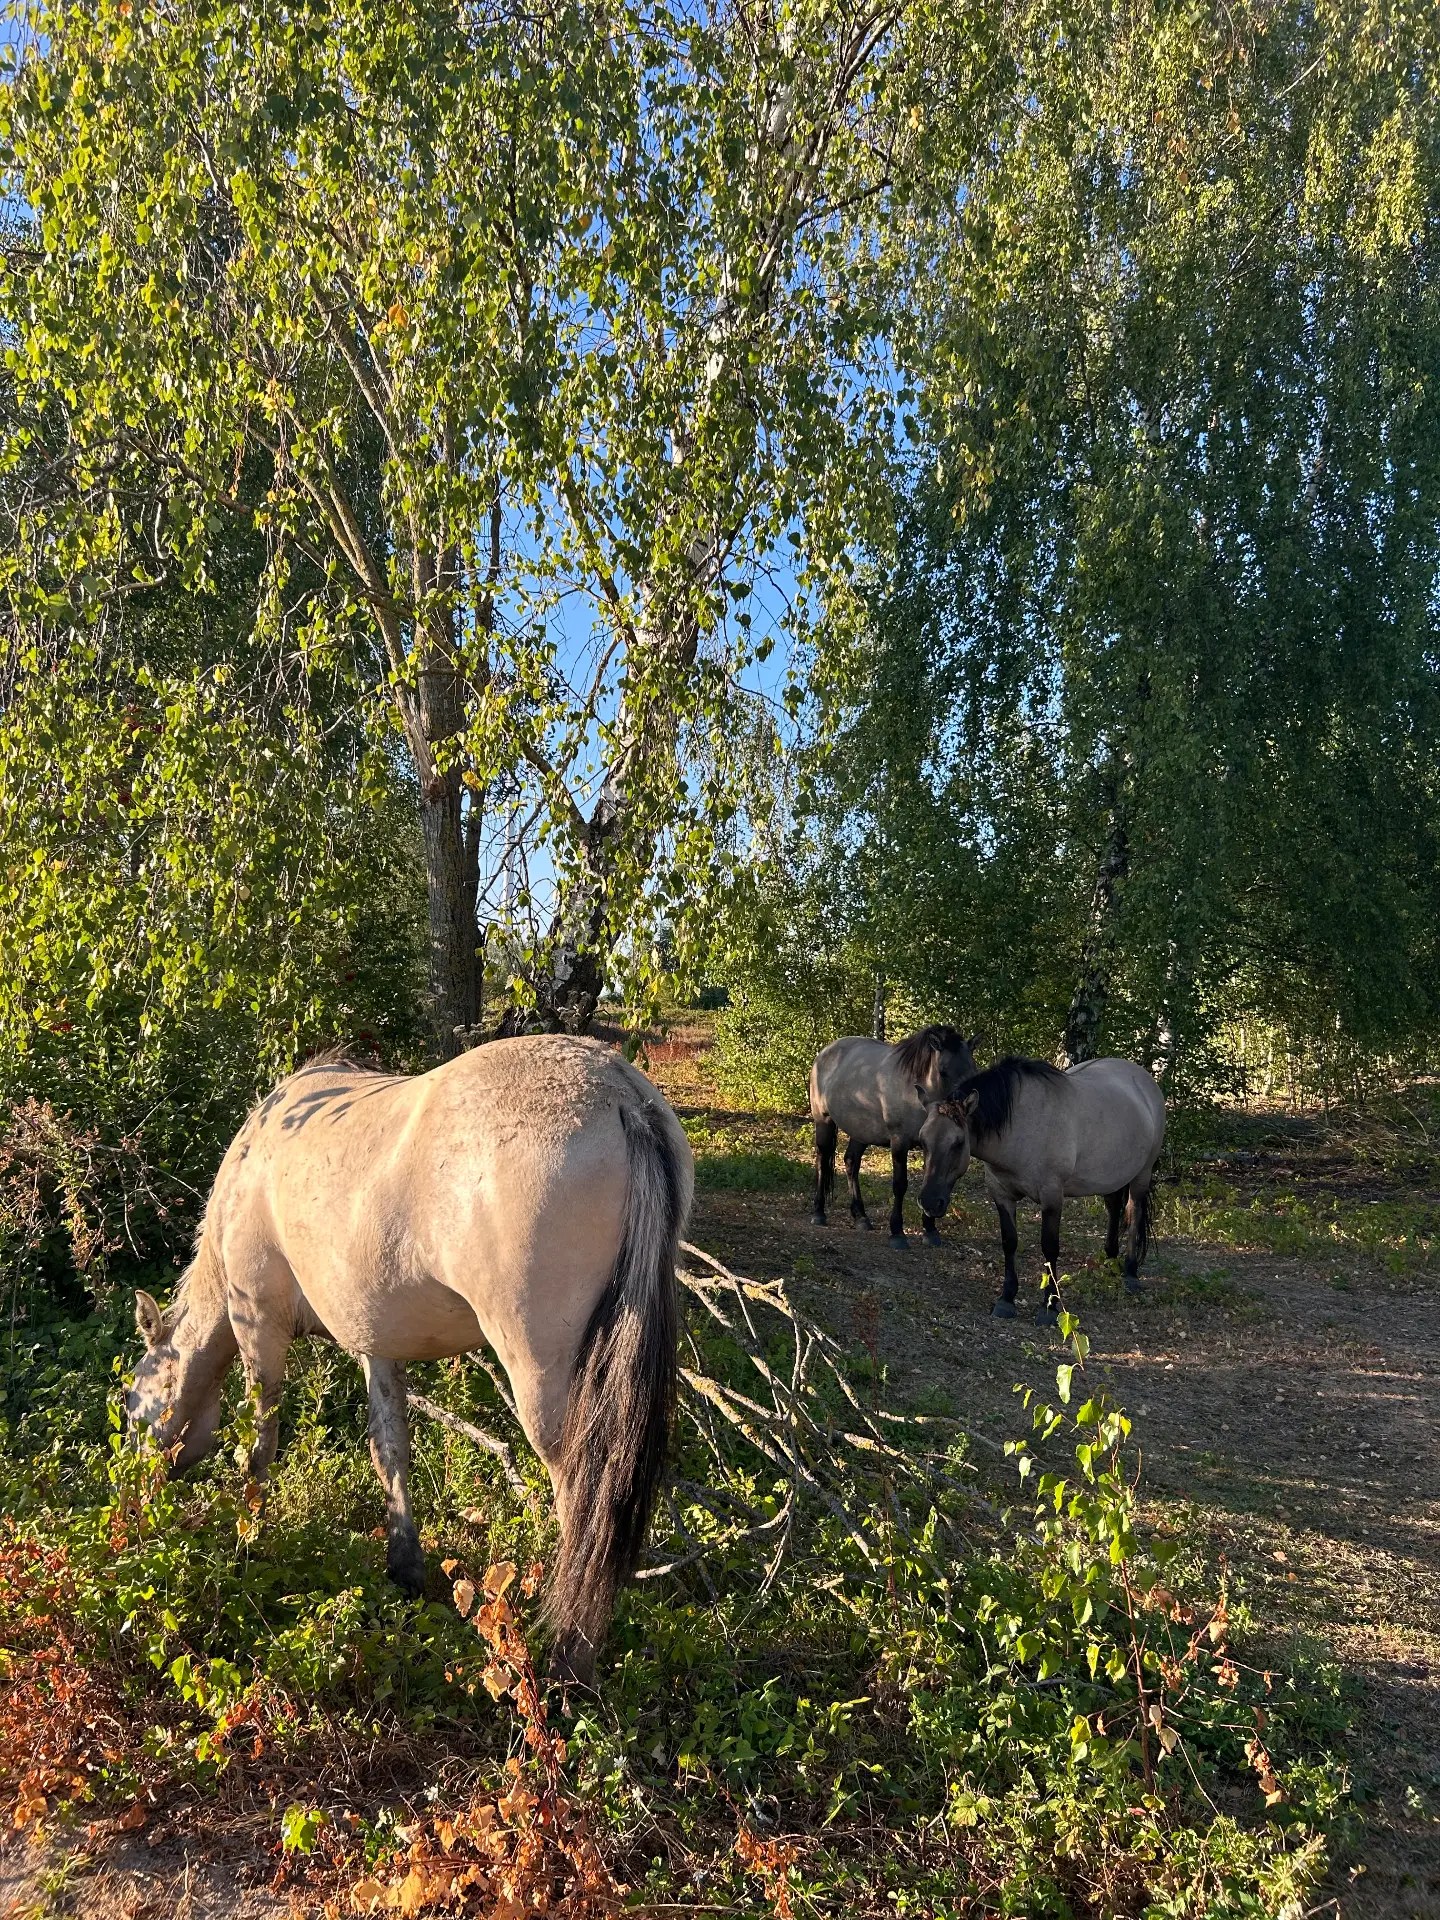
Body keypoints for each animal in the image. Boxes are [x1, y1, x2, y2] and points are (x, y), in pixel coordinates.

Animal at [126, 1035, 693, 1686]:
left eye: (132, 1407)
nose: (135, 1508)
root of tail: (617, 1092)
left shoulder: (257, 1325)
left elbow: (259, 1443)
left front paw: (250, 1539)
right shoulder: (378, 1344)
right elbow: (389, 1448)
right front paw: (403, 1564)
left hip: (542, 1376)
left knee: (578, 1488)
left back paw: (570, 1651)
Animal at [809, 1025, 979, 1248]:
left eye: (973, 1071)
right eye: (943, 1071)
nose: (959, 1109)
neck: (914, 1092)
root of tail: (824, 1053)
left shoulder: (930, 1147)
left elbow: (931, 1178)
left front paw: (930, 1230)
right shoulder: (899, 1142)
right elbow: (900, 1185)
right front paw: (897, 1232)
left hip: (861, 1132)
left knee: (851, 1162)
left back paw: (861, 1217)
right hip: (823, 1122)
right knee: (822, 1161)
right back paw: (818, 1213)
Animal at [916, 1054, 1165, 1324]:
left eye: (958, 1142)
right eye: (922, 1140)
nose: (929, 1202)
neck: (1020, 1126)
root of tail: (1143, 1080)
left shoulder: (1052, 1197)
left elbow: (1049, 1248)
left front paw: (1049, 1306)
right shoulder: (1001, 1195)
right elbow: (1009, 1242)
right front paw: (1006, 1299)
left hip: (1141, 1176)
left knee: (1134, 1214)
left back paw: (1130, 1274)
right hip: (1111, 1176)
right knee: (1114, 1207)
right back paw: (1110, 1261)